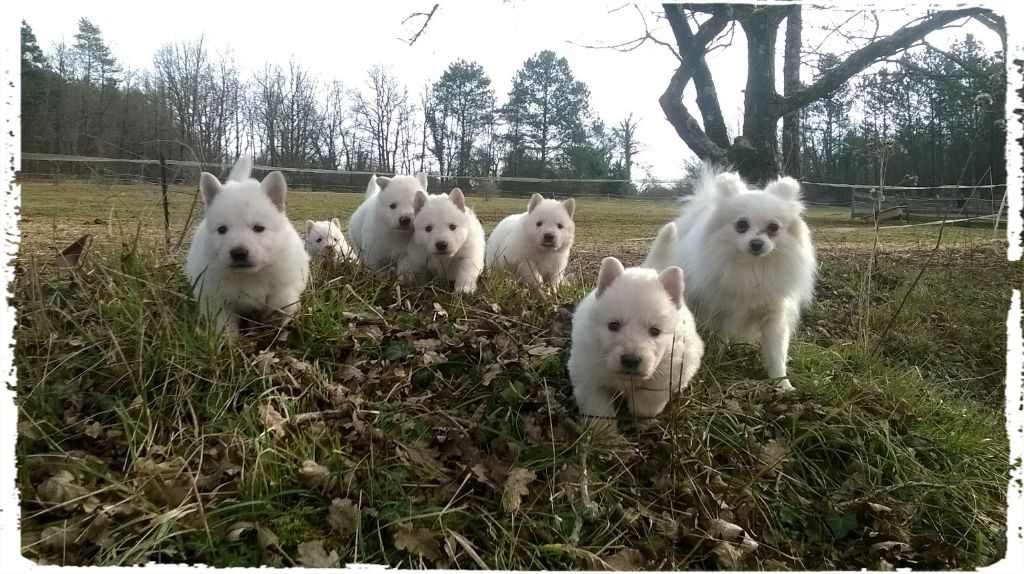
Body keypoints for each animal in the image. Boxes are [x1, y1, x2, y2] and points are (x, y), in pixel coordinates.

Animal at [186, 154, 309, 337]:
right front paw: (228, 341)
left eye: (258, 228)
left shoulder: (286, 282)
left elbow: (280, 301)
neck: (249, 275)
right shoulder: (215, 299)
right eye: (222, 229)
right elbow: (225, 325)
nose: (238, 253)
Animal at [569, 243, 704, 427]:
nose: (630, 361)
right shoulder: (587, 374)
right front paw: (606, 431)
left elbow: (650, 397)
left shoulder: (672, 367)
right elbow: (598, 408)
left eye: (655, 331)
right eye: (613, 325)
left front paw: (638, 412)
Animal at [643, 164, 819, 388]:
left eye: (773, 227)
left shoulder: (774, 316)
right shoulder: (720, 309)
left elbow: (776, 353)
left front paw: (782, 384)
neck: (750, 268)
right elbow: (721, 337)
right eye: (742, 224)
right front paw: (718, 359)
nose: (756, 243)